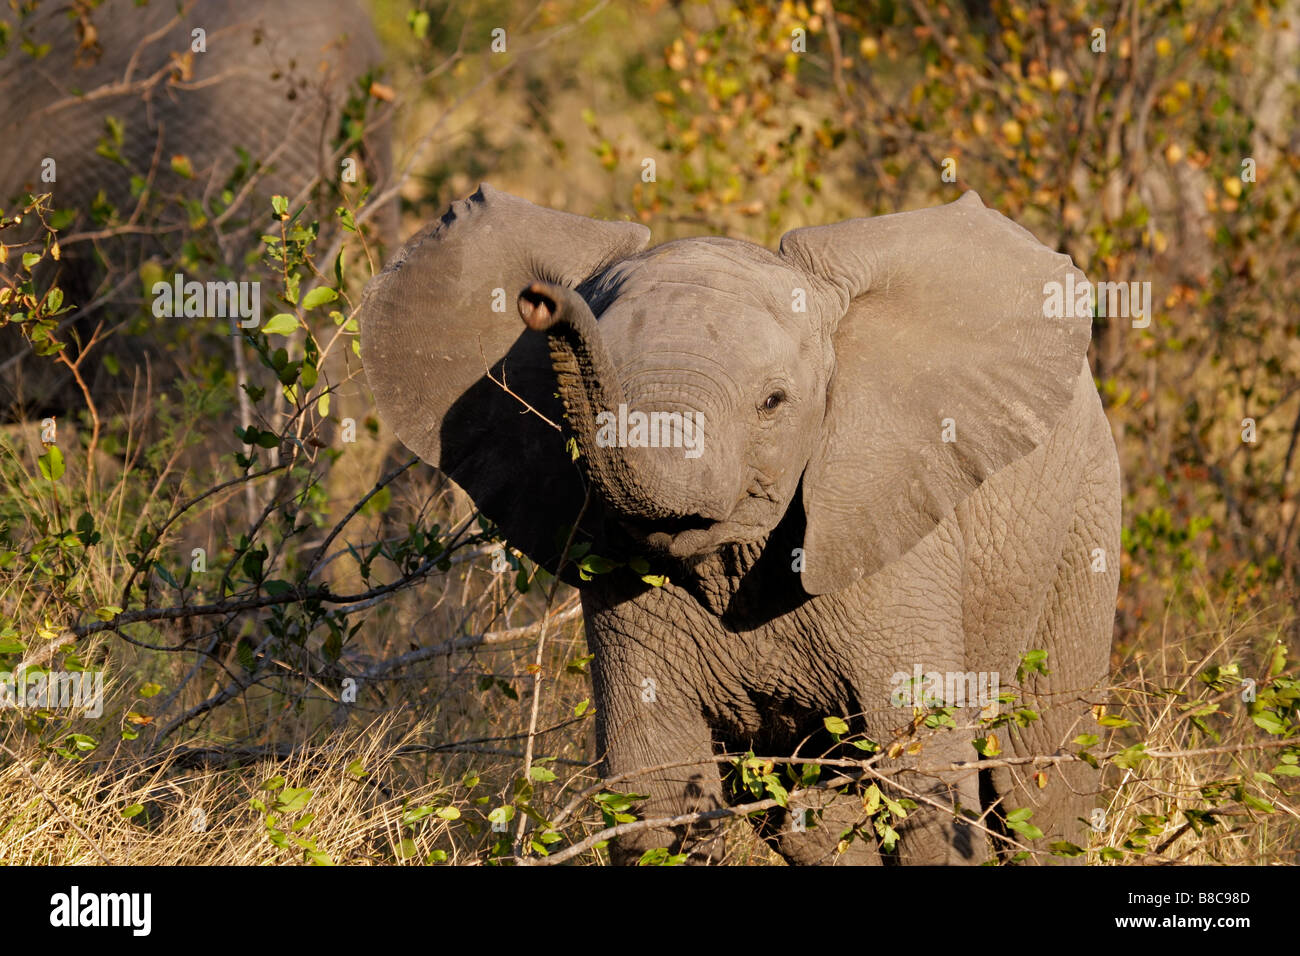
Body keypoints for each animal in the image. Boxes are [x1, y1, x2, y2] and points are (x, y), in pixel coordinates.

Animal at [361, 187, 1123, 868]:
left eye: (773, 403)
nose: (539, 298)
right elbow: (657, 790)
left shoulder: (895, 545)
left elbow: (921, 774)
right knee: (811, 823)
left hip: (1084, 521)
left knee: (1042, 780)